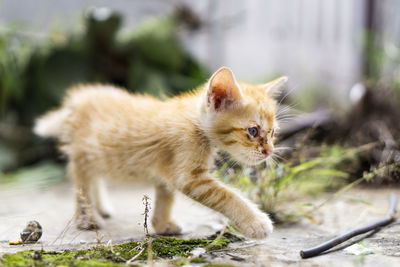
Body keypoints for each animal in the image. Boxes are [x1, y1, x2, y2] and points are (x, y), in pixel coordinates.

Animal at [32, 68, 286, 240]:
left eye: (273, 132)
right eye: (253, 131)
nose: (269, 152)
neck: (194, 123)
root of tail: (76, 98)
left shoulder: (171, 171)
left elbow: (166, 195)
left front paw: (161, 224)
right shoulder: (191, 177)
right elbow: (227, 196)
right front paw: (257, 222)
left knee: (93, 177)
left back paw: (101, 208)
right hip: (83, 153)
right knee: (80, 180)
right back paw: (87, 218)